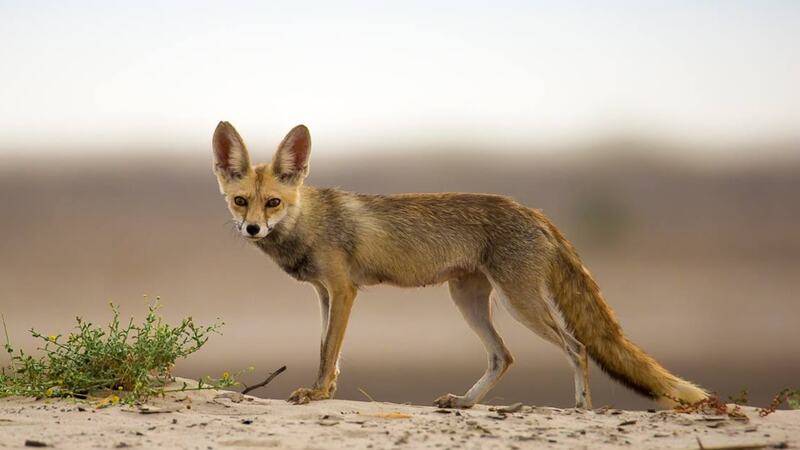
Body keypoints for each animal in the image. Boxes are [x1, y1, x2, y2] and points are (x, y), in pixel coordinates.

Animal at [211, 121, 708, 410]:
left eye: (273, 202)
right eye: (241, 201)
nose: (252, 229)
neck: (310, 221)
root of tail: (533, 211)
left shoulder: (344, 290)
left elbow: (328, 351)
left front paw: (316, 394)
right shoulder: (322, 293)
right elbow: (326, 352)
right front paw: (326, 391)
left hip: (519, 302)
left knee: (578, 348)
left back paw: (580, 410)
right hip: (467, 299)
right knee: (503, 355)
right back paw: (466, 403)